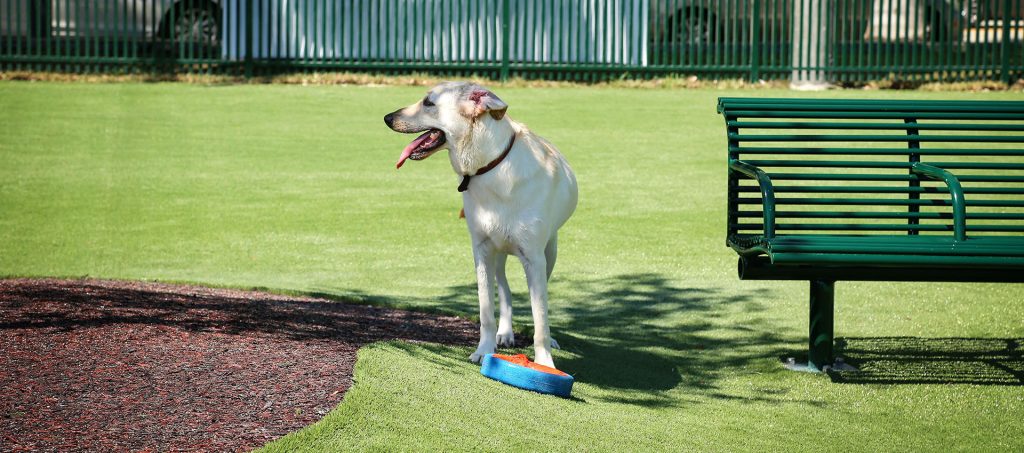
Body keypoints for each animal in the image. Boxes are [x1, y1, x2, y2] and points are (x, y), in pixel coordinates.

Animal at [385, 82, 577, 368]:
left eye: (428, 103)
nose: (387, 118)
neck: (492, 167)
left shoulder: (534, 259)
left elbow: (540, 318)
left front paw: (544, 362)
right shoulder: (482, 251)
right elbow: (487, 310)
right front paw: (484, 350)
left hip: (549, 253)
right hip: (499, 255)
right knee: (505, 290)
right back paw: (505, 332)